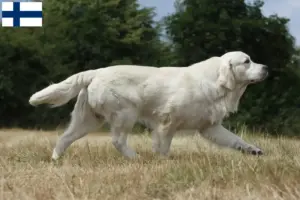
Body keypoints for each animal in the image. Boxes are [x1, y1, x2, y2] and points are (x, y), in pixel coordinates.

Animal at [28, 51, 268, 159]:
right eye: (246, 61)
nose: (266, 67)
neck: (215, 82)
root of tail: (96, 72)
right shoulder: (167, 122)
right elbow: (163, 146)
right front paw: (162, 161)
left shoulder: (210, 127)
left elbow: (235, 139)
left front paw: (253, 150)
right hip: (126, 114)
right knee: (117, 141)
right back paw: (136, 158)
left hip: (88, 120)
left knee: (64, 138)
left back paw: (55, 160)